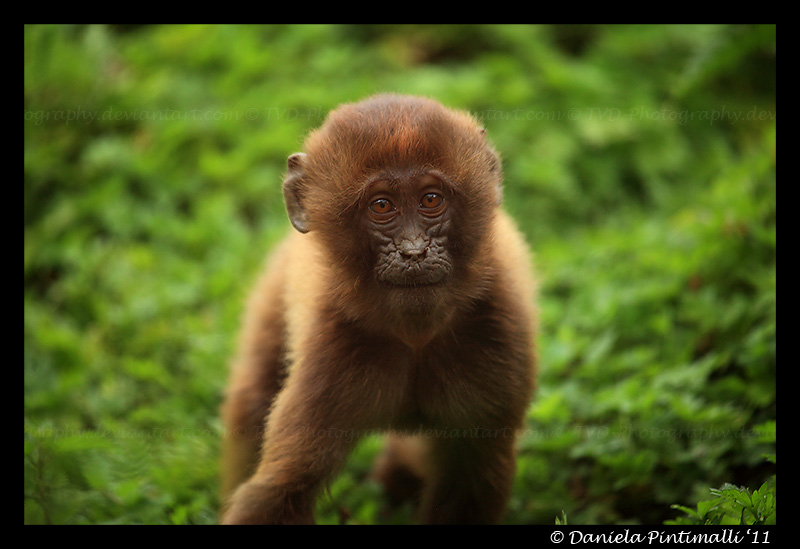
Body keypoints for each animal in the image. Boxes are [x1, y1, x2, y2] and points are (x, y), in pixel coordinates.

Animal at [220, 94, 536, 524]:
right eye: (382, 206)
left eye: (431, 200)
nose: (414, 252)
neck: (416, 336)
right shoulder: (333, 348)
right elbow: (283, 488)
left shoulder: (498, 329)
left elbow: (471, 475)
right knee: (254, 397)